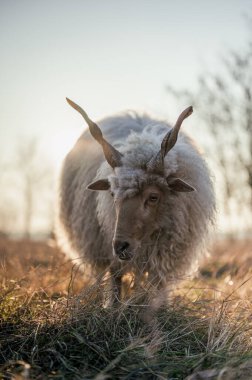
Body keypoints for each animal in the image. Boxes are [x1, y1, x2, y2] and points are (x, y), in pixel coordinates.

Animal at [56, 99, 215, 308]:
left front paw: (156, 307)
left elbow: (158, 282)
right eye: (112, 194)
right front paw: (113, 307)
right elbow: (115, 274)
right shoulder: (108, 243)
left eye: (153, 197)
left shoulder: (165, 250)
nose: (120, 246)